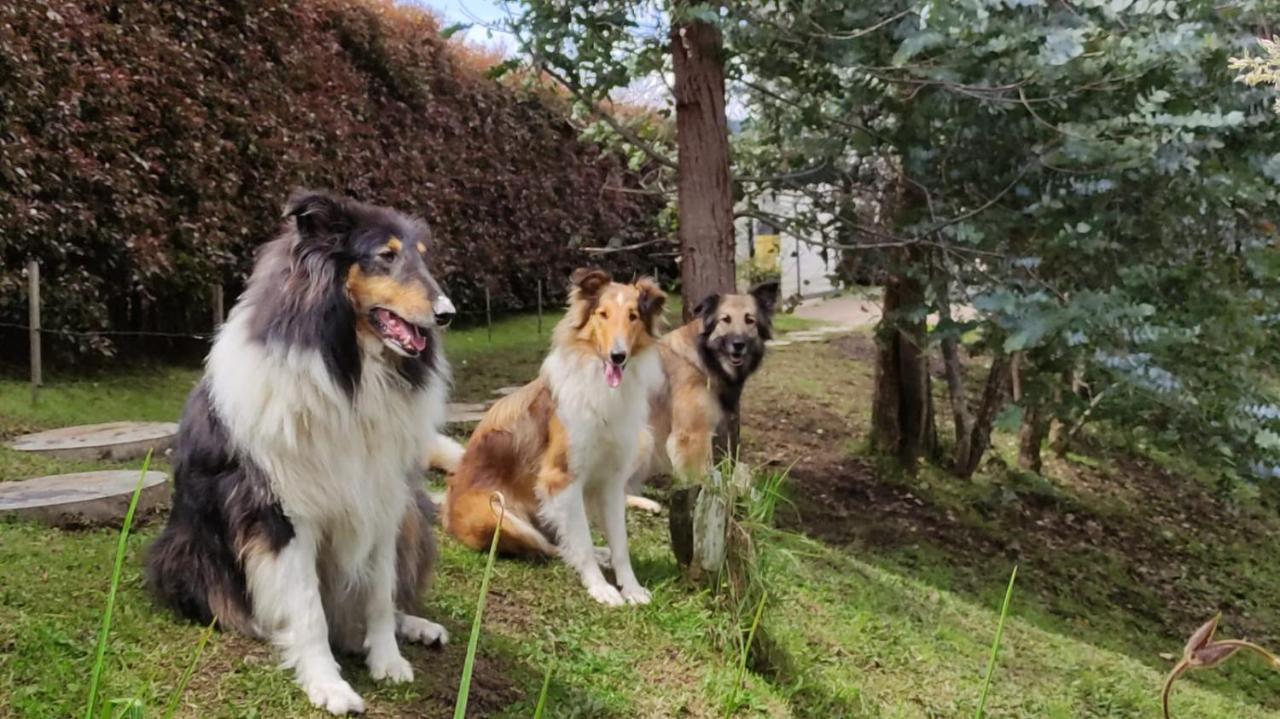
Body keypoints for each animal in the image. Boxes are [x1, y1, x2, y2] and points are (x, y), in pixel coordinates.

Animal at [146, 190, 458, 711]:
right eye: (385, 256)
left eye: (423, 257)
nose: (447, 313)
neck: (351, 374)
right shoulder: (282, 512)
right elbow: (307, 607)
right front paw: (327, 684)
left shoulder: (383, 498)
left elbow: (379, 592)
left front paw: (386, 659)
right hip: (184, 549)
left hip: (414, 515)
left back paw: (416, 625)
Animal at [445, 268, 665, 603]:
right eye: (602, 314)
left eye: (633, 316)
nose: (618, 356)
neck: (599, 387)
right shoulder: (560, 479)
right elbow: (581, 542)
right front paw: (601, 588)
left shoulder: (611, 481)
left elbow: (621, 542)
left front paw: (631, 587)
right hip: (499, 513)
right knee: (550, 546)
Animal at [629, 280, 778, 491]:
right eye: (725, 319)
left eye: (750, 320)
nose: (738, 344)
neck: (703, 358)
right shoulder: (692, 435)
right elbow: (701, 478)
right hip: (642, 438)